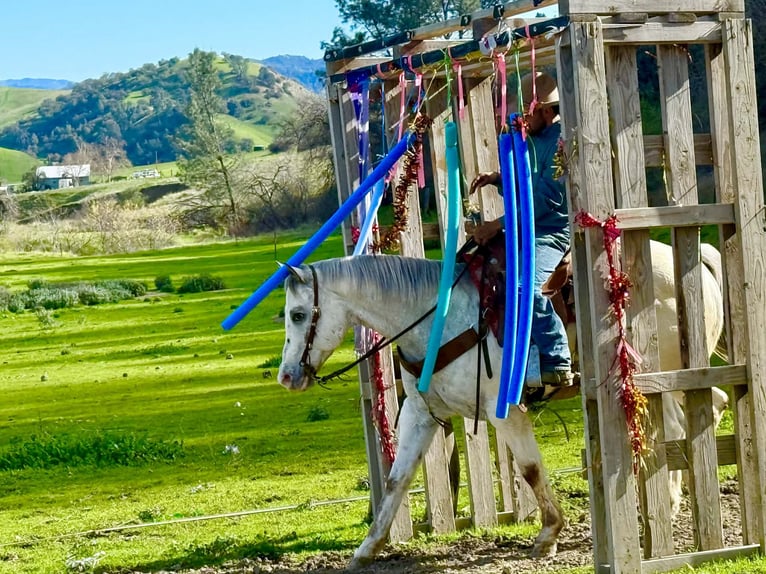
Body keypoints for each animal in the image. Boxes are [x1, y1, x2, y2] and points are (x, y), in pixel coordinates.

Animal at [277, 239, 727, 568]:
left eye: (298, 315)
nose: (286, 376)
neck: (439, 318)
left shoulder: (505, 411)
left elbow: (529, 469)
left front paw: (548, 535)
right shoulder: (421, 414)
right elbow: (395, 480)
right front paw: (368, 548)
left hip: (663, 375)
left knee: (685, 421)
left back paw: (674, 505)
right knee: (697, 413)